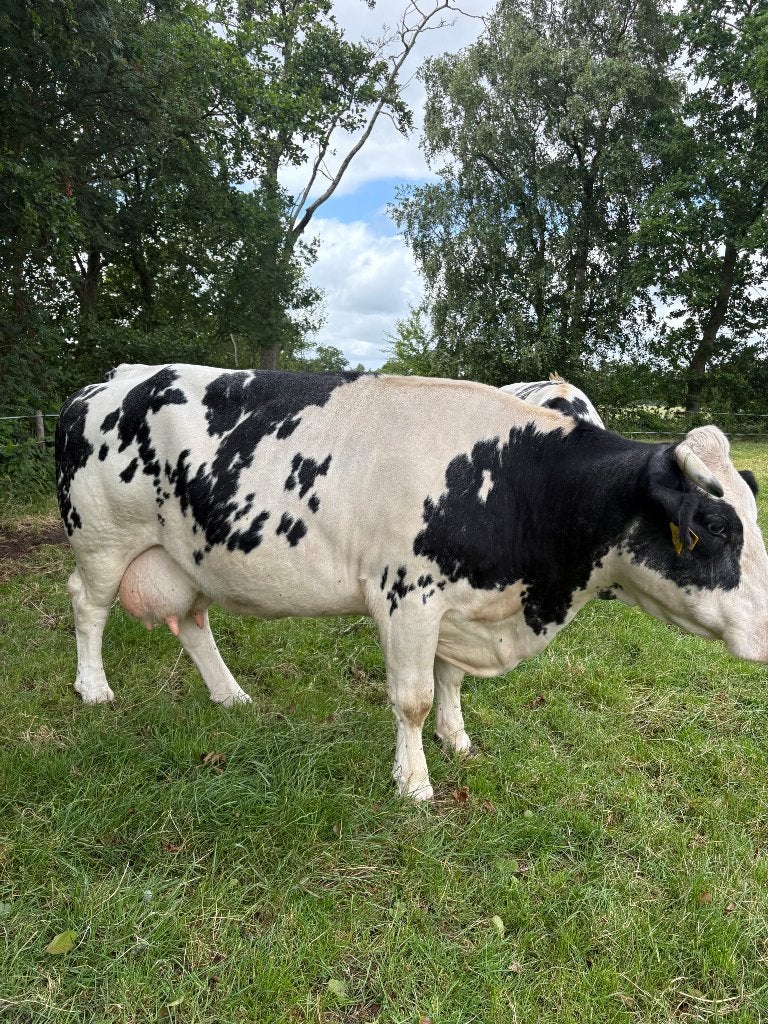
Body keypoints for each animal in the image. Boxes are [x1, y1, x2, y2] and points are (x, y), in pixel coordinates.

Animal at [55, 364, 768, 801]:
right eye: (713, 526)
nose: (766, 632)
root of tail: (112, 379)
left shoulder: (462, 607)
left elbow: (449, 684)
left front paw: (458, 741)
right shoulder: (409, 597)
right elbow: (413, 698)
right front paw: (415, 783)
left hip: (190, 555)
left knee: (194, 622)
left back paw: (229, 695)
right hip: (102, 538)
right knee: (87, 605)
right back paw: (93, 688)